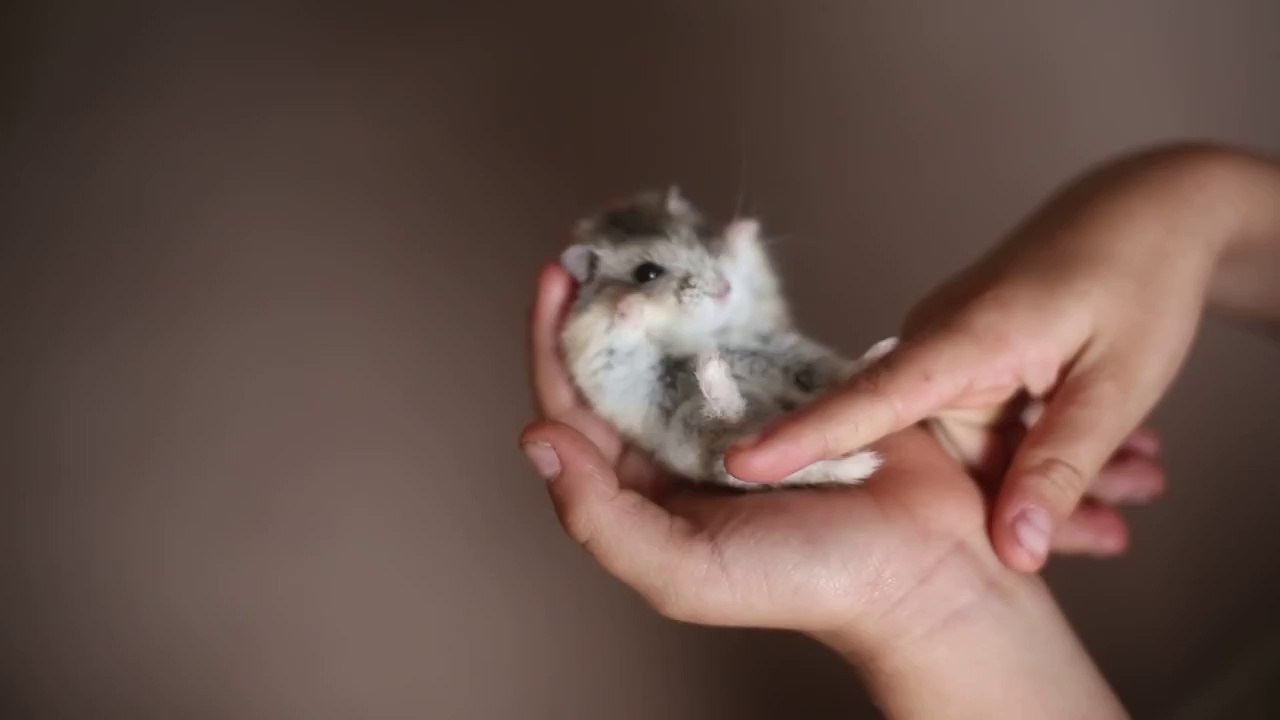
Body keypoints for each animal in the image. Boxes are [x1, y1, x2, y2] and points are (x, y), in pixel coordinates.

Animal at [558, 187, 896, 489]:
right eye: (647, 273)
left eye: (700, 240)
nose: (724, 289)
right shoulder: (598, 349)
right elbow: (622, 327)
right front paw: (632, 303)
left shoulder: (758, 287)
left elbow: (746, 262)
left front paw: (743, 228)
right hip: (694, 433)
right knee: (732, 419)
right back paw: (712, 367)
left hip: (795, 357)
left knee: (831, 380)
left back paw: (880, 353)